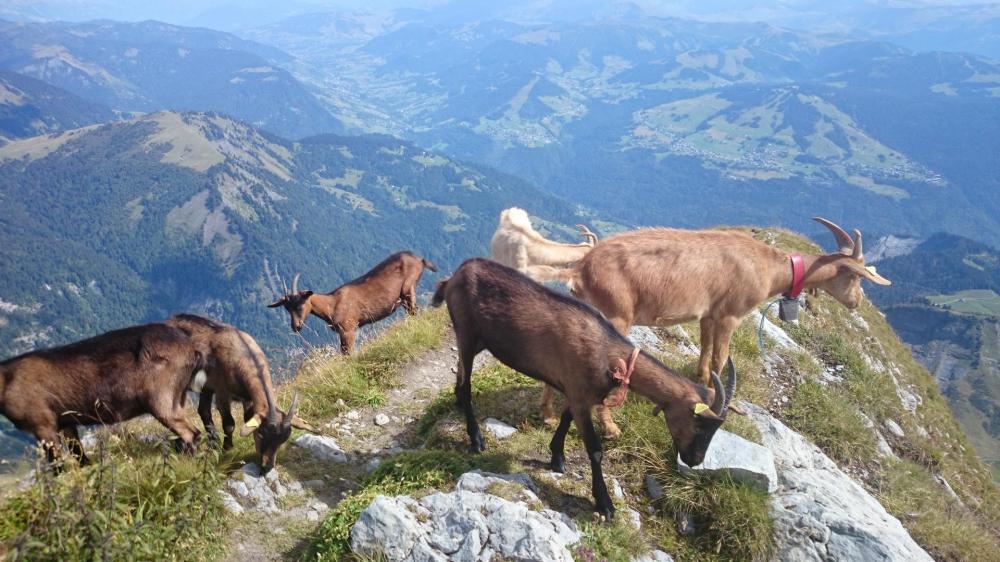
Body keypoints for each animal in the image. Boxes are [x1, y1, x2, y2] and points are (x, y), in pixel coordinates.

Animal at [0, 322, 205, 462]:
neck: (7, 379)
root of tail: (191, 350)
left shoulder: (43, 425)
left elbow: (57, 465)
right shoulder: (66, 421)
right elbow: (80, 457)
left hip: (160, 399)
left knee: (190, 432)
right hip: (179, 397)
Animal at [166, 312, 312, 470]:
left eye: (283, 440)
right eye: (262, 433)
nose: (267, 466)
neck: (243, 354)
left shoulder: (246, 397)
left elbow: (247, 418)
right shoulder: (222, 392)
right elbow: (229, 423)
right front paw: (227, 449)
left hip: (206, 387)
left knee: (203, 411)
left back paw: (212, 443)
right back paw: (181, 445)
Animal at [268, 249, 436, 350]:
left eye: (300, 304)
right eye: (287, 308)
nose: (295, 326)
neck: (332, 304)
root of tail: (419, 259)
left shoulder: (349, 329)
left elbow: (348, 354)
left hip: (408, 288)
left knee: (415, 311)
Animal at [430, 258, 736, 516]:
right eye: (700, 423)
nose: (694, 460)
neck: (609, 355)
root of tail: (455, 276)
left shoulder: (577, 393)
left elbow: (565, 419)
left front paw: (557, 457)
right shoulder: (580, 394)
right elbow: (595, 449)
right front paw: (604, 503)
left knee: (460, 379)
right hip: (467, 333)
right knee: (466, 385)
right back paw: (476, 439)